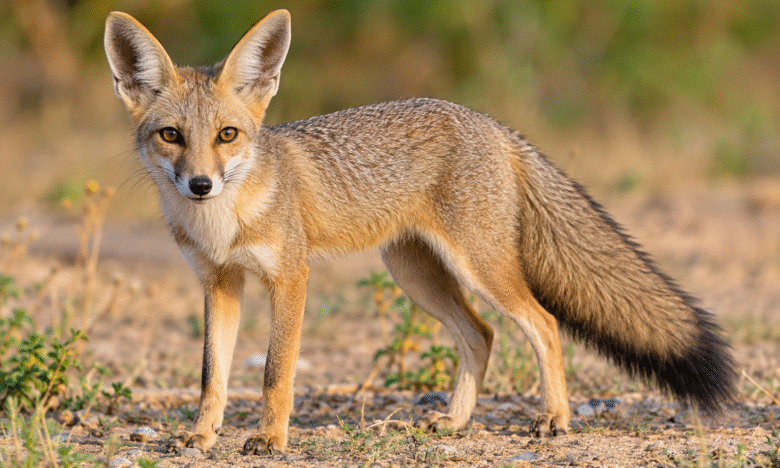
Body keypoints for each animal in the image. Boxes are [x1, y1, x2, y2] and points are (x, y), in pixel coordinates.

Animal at [104, 9, 736, 455]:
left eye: (228, 135)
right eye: (171, 136)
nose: (200, 184)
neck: (219, 225)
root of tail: (491, 123)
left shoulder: (290, 278)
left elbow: (274, 372)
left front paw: (270, 440)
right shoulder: (218, 284)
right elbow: (213, 376)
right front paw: (201, 436)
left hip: (480, 268)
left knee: (544, 324)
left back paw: (554, 418)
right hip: (417, 275)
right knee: (481, 335)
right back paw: (455, 421)